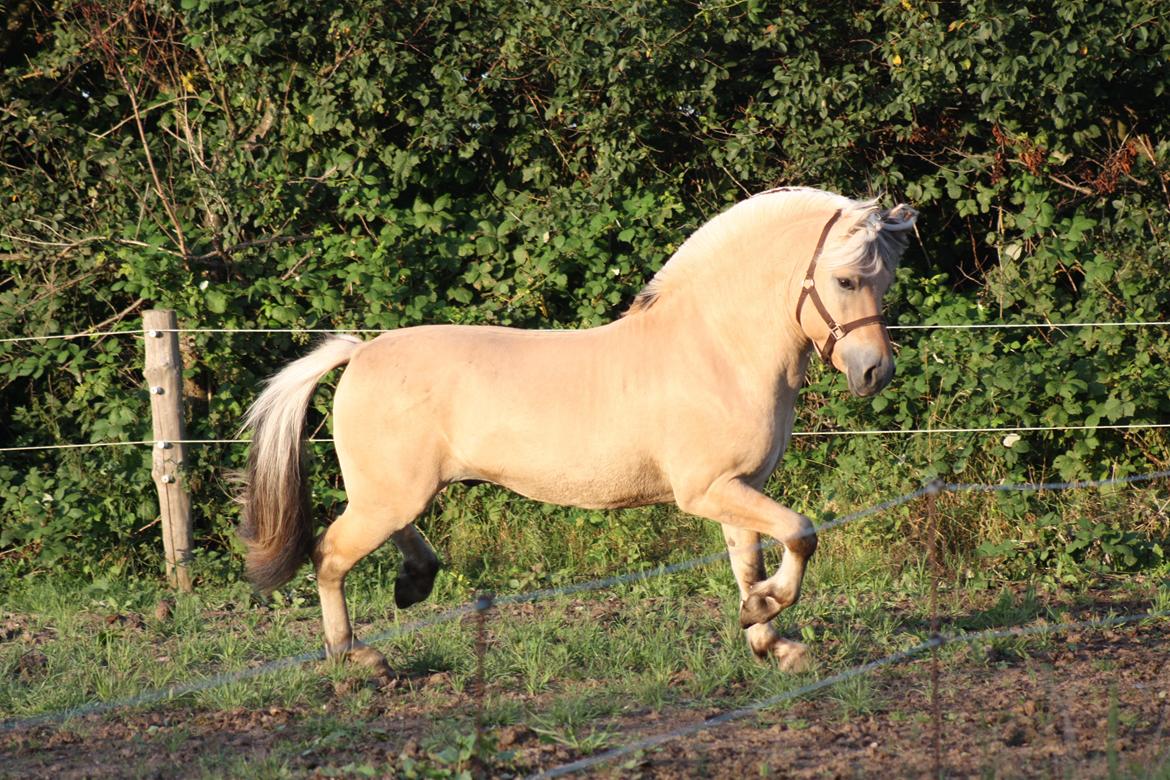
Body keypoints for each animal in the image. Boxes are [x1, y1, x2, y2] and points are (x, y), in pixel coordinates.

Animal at [235, 187, 912, 678]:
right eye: (846, 280)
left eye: (884, 280)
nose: (874, 372)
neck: (719, 349)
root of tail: (360, 353)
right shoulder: (708, 491)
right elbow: (802, 533)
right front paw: (768, 615)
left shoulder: (737, 490)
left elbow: (749, 564)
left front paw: (768, 637)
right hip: (389, 494)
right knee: (328, 556)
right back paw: (356, 659)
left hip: (399, 490)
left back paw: (414, 581)